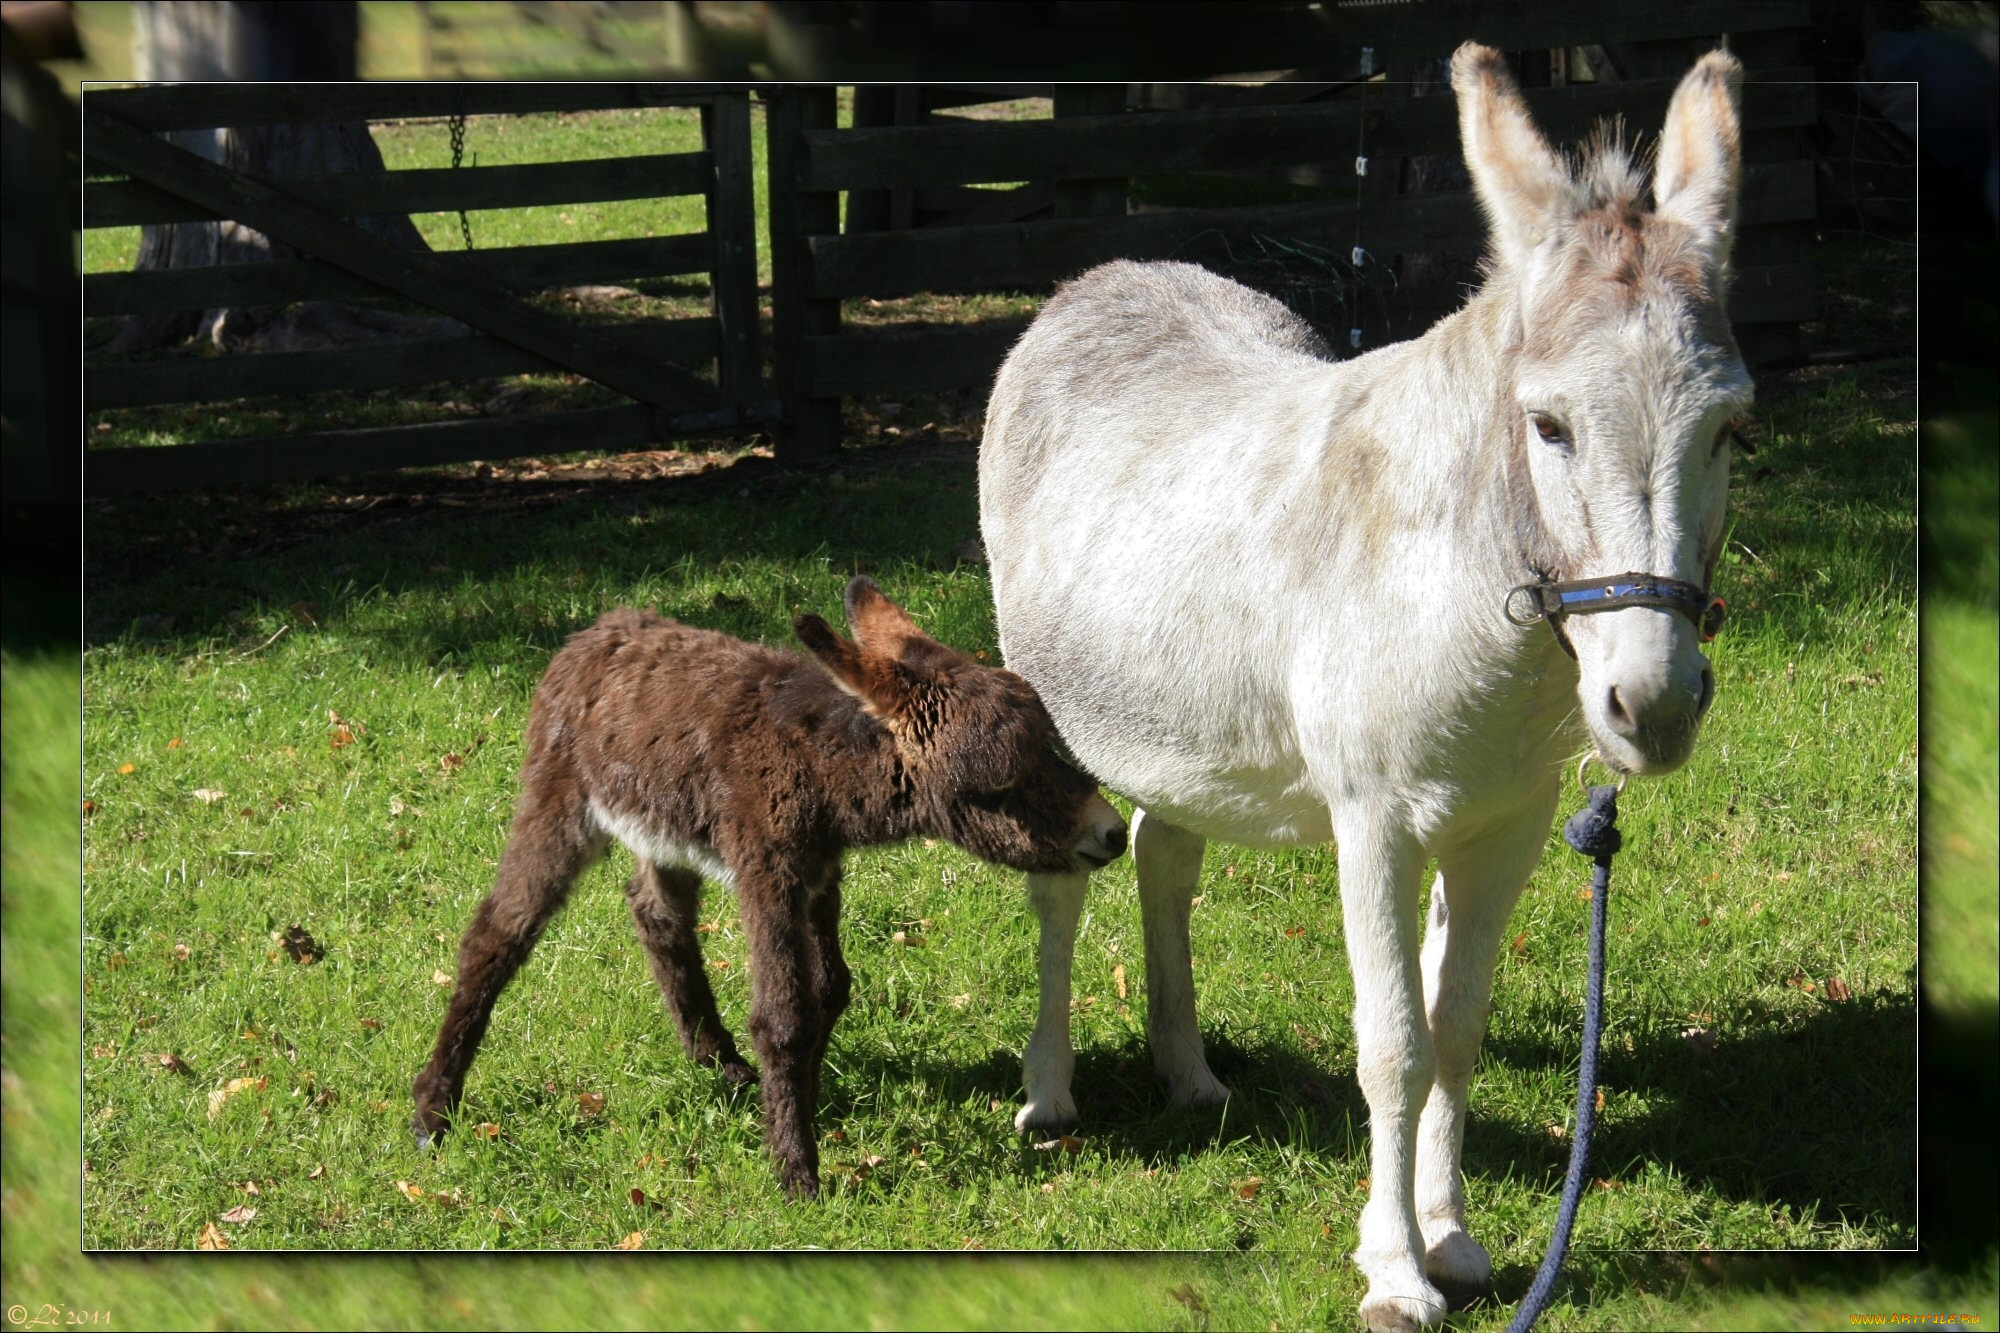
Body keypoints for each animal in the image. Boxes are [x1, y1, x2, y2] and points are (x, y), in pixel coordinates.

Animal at [414, 572, 1128, 1192]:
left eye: (1049, 746)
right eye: (1000, 785)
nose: (1113, 833)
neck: (818, 761)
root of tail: (595, 631)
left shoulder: (819, 871)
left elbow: (829, 988)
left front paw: (801, 1107)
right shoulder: (767, 870)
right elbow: (784, 1014)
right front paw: (796, 1171)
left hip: (666, 828)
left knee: (657, 913)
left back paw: (717, 1062)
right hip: (560, 802)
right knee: (498, 931)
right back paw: (432, 1113)